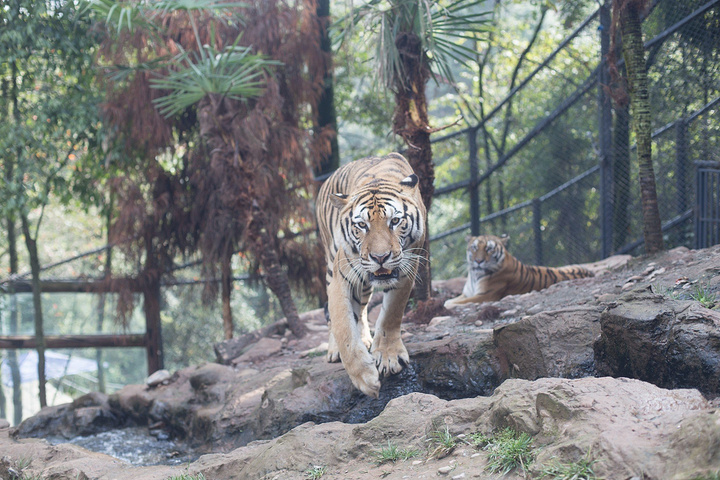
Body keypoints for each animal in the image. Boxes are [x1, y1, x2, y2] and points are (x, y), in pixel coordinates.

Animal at [316, 153, 428, 398]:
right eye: (361, 225)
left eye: (394, 221)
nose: (380, 257)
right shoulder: (341, 277)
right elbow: (343, 326)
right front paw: (364, 377)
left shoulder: (407, 267)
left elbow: (391, 313)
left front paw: (388, 357)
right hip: (330, 265)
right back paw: (334, 350)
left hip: (365, 284)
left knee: (362, 309)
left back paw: (366, 339)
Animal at [444, 233, 596, 308]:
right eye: (474, 248)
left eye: (489, 249)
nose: (479, 261)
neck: (474, 275)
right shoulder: (466, 293)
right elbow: (454, 300)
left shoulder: (486, 295)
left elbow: (456, 303)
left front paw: (447, 305)